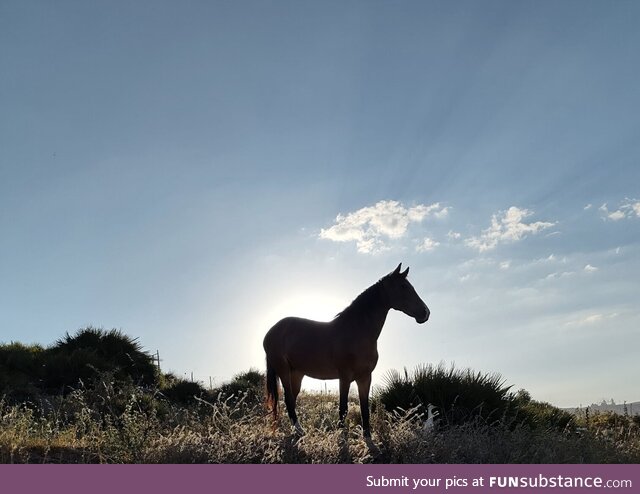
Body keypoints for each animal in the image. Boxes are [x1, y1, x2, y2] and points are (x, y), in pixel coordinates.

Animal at [264, 264, 430, 438]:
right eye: (403, 286)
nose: (425, 313)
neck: (357, 332)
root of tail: (272, 331)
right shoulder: (344, 377)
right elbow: (343, 408)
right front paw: (342, 436)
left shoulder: (365, 377)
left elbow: (364, 409)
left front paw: (367, 437)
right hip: (283, 370)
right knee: (288, 399)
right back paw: (299, 430)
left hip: (297, 373)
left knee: (292, 399)